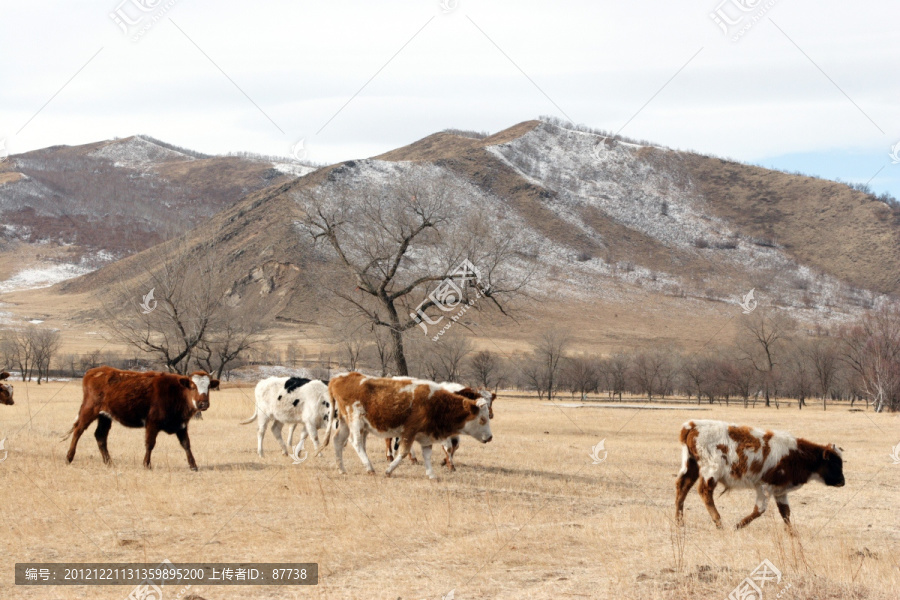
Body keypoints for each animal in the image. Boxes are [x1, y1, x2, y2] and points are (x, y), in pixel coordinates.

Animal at [64, 368, 219, 472]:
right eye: (193, 386)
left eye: (208, 387)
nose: (203, 404)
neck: (176, 391)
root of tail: (93, 372)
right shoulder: (152, 423)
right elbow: (150, 444)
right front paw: (146, 464)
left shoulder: (181, 425)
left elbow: (186, 444)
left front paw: (193, 465)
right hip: (89, 410)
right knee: (78, 431)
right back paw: (69, 458)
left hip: (105, 416)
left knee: (100, 436)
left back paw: (109, 462)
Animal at [326, 370, 492, 478]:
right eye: (482, 419)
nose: (490, 437)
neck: (435, 403)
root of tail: (338, 378)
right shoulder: (409, 431)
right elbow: (404, 452)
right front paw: (389, 470)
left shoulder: (426, 435)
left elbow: (427, 455)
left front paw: (431, 474)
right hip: (356, 422)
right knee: (357, 443)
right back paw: (369, 467)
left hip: (344, 422)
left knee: (337, 440)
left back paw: (341, 469)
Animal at [676, 422, 844, 528]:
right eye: (834, 463)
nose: (842, 482)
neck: (796, 454)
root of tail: (692, 426)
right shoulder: (765, 486)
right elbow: (759, 510)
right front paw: (738, 525)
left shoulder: (780, 490)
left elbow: (785, 513)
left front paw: (792, 533)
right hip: (710, 472)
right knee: (704, 492)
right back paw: (718, 521)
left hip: (691, 467)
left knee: (682, 487)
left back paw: (679, 521)